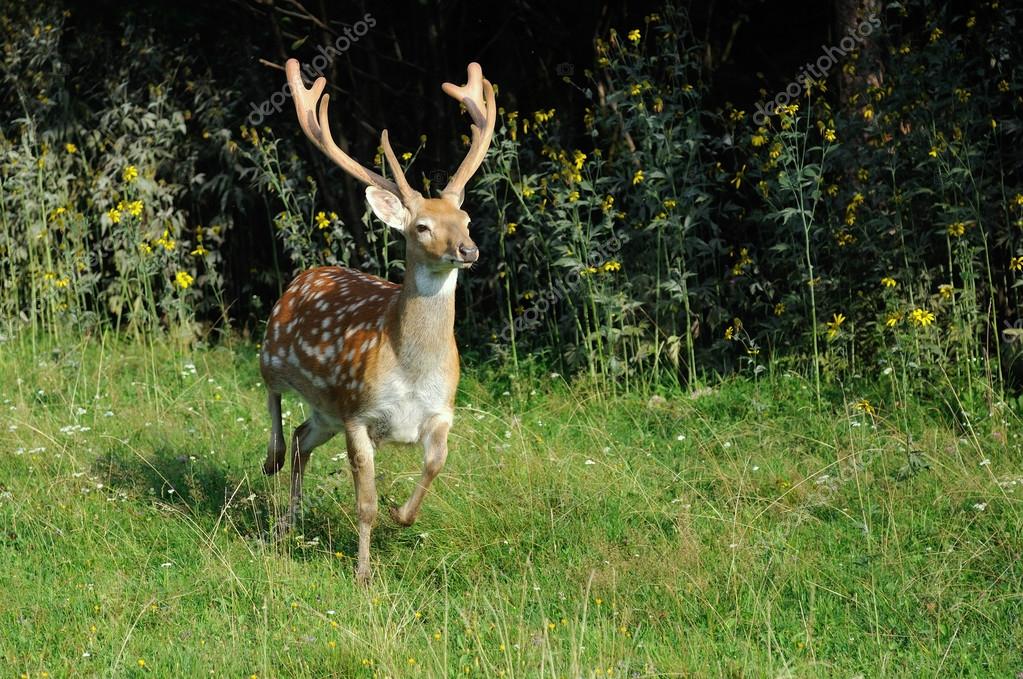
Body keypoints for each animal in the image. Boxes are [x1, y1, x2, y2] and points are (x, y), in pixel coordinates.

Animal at [259, 58, 495, 584]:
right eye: (422, 226)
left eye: (467, 219)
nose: (468, 250)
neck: (410, 372)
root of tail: (308, 272)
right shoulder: (359, 413)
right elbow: (363, 503)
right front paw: (364, 574)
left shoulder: (442, 412)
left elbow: (436, 465)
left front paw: (401, 515)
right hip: (273, 351)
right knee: (274, 401)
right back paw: (270, 460)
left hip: (326, 410)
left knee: (303, 438)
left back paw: (289, 521)